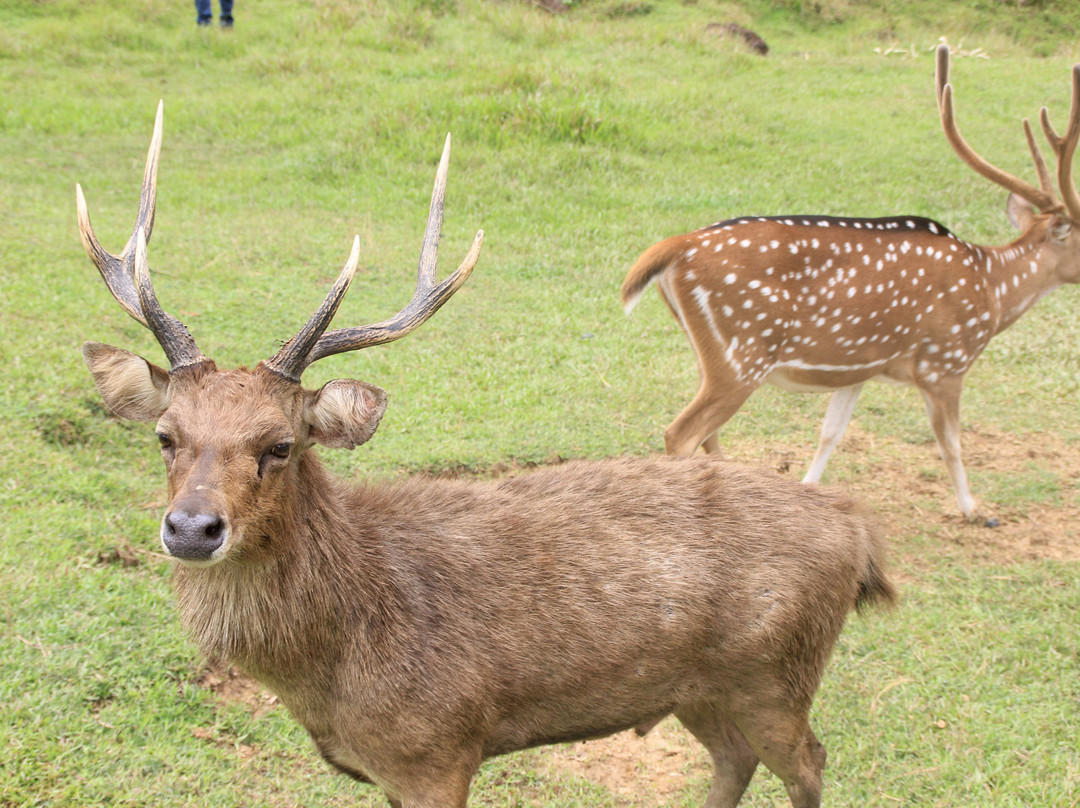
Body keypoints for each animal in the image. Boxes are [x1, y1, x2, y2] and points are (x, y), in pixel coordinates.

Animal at [79, 101, 894, 808]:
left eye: (280, 444)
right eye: (165, 436)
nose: (191, 528)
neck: (336, 670)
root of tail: (857, 532)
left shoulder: (438, 749)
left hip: (775, 675)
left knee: (809, 761)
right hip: (704, 688)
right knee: (734, 759)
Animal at [622, 44, 1080, 524]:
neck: (993, 291)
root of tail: (677, 247)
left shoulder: (858, 367)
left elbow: (831, 432)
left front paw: (810, 493)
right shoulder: (945, 361)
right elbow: (950, 442)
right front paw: (973, 509)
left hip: (709, 354)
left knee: (706, 434)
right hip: (743, 353)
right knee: (681, 432)